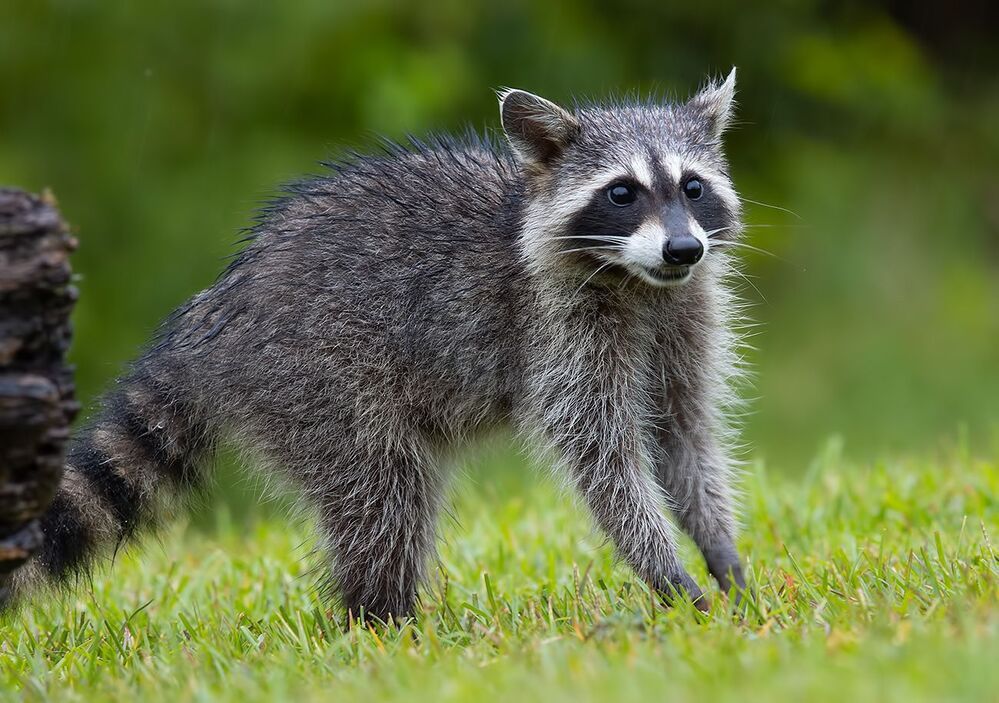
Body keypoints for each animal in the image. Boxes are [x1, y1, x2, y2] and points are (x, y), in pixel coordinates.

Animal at [3, 70, 748, 620]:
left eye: (692, 187)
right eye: (622, 193)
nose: (683, 249)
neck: (637, 281)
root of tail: (217, 311)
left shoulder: (686, 314)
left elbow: (684, 432)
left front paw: (719, 547)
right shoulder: (556, 329)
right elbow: (601, 459)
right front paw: (663, 568)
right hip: (316, 380)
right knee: (383, 493)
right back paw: (384, 618)